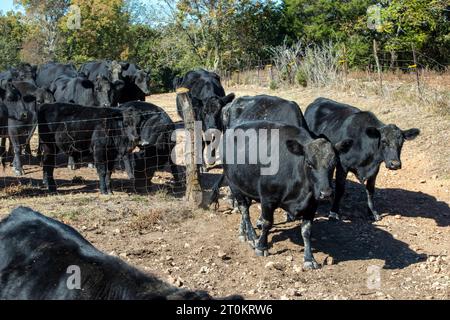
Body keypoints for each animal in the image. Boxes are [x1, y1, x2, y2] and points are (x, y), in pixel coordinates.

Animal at [212, 121, 356, 268]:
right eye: (309, 163)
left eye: (334, 163)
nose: (326, 193)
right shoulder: (267, 198)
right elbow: (267, 223)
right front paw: (261, 247)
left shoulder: (312, 203)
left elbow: (307, 230)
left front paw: (309, 259)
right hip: (233, 184)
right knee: (244, 209)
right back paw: (252, 237)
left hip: (246, 185)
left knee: (245, 208)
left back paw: (243, 232)